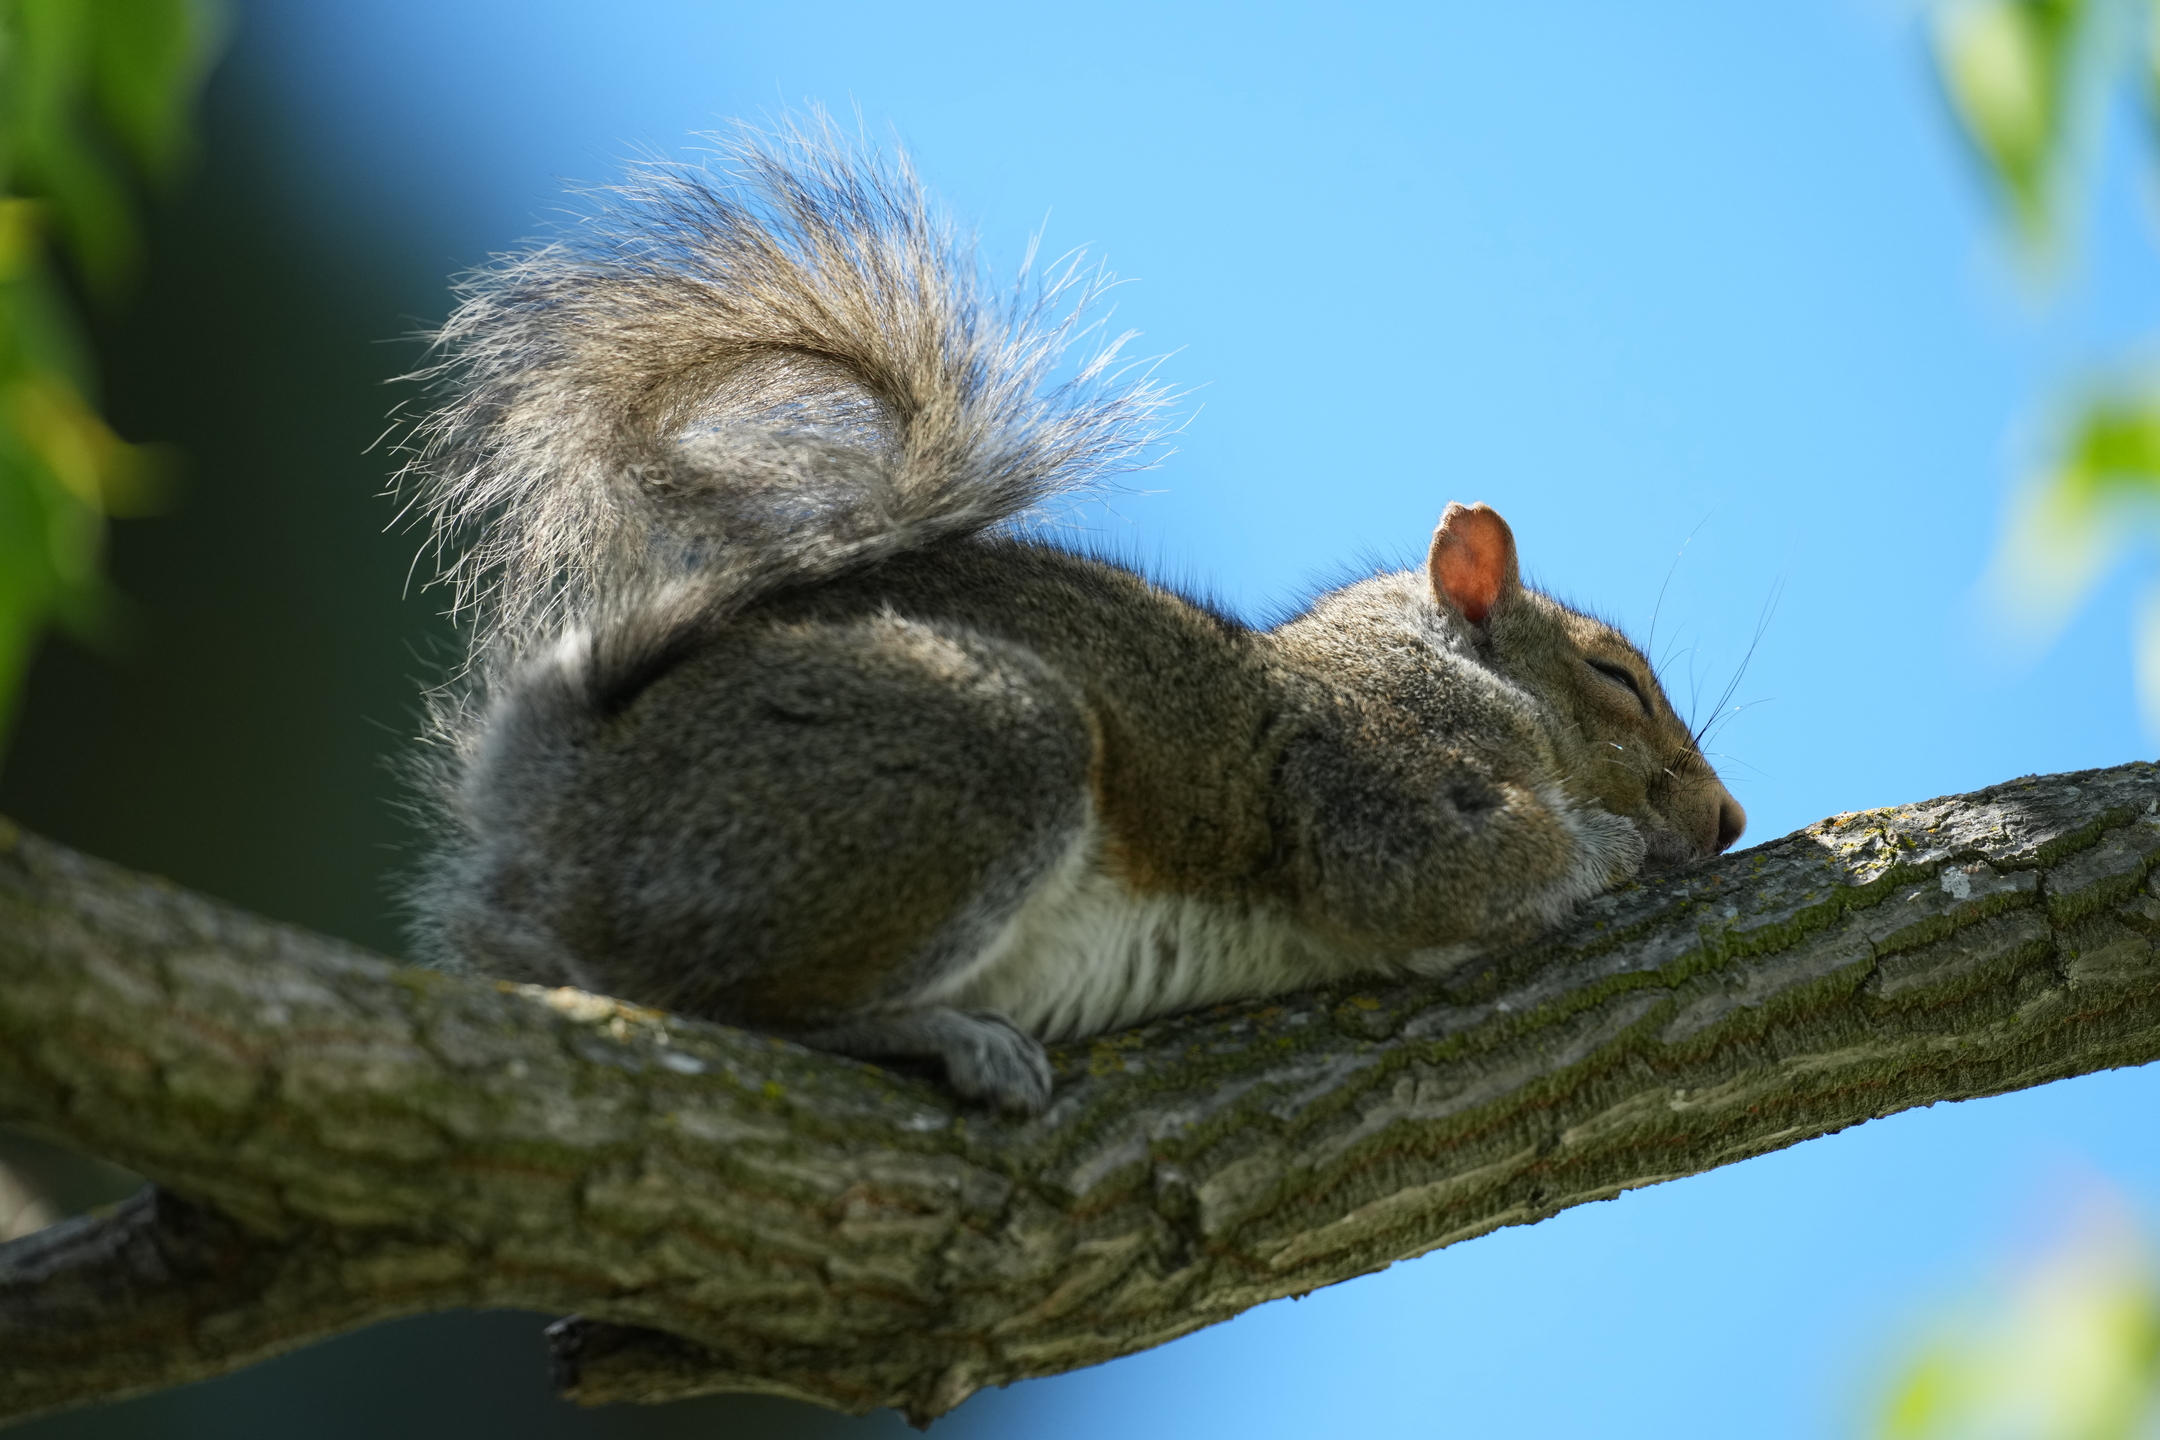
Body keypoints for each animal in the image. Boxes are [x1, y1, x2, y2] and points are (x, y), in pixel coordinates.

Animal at [403, 123, 1746, 1115]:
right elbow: (1449, 869)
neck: (1448, 673)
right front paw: (1609, 849)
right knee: (726, 1004)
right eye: (1616, 677)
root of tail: (554, 808)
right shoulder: (1378, 777)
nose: (1729, 819)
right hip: (971, 750)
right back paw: (943, 1038)